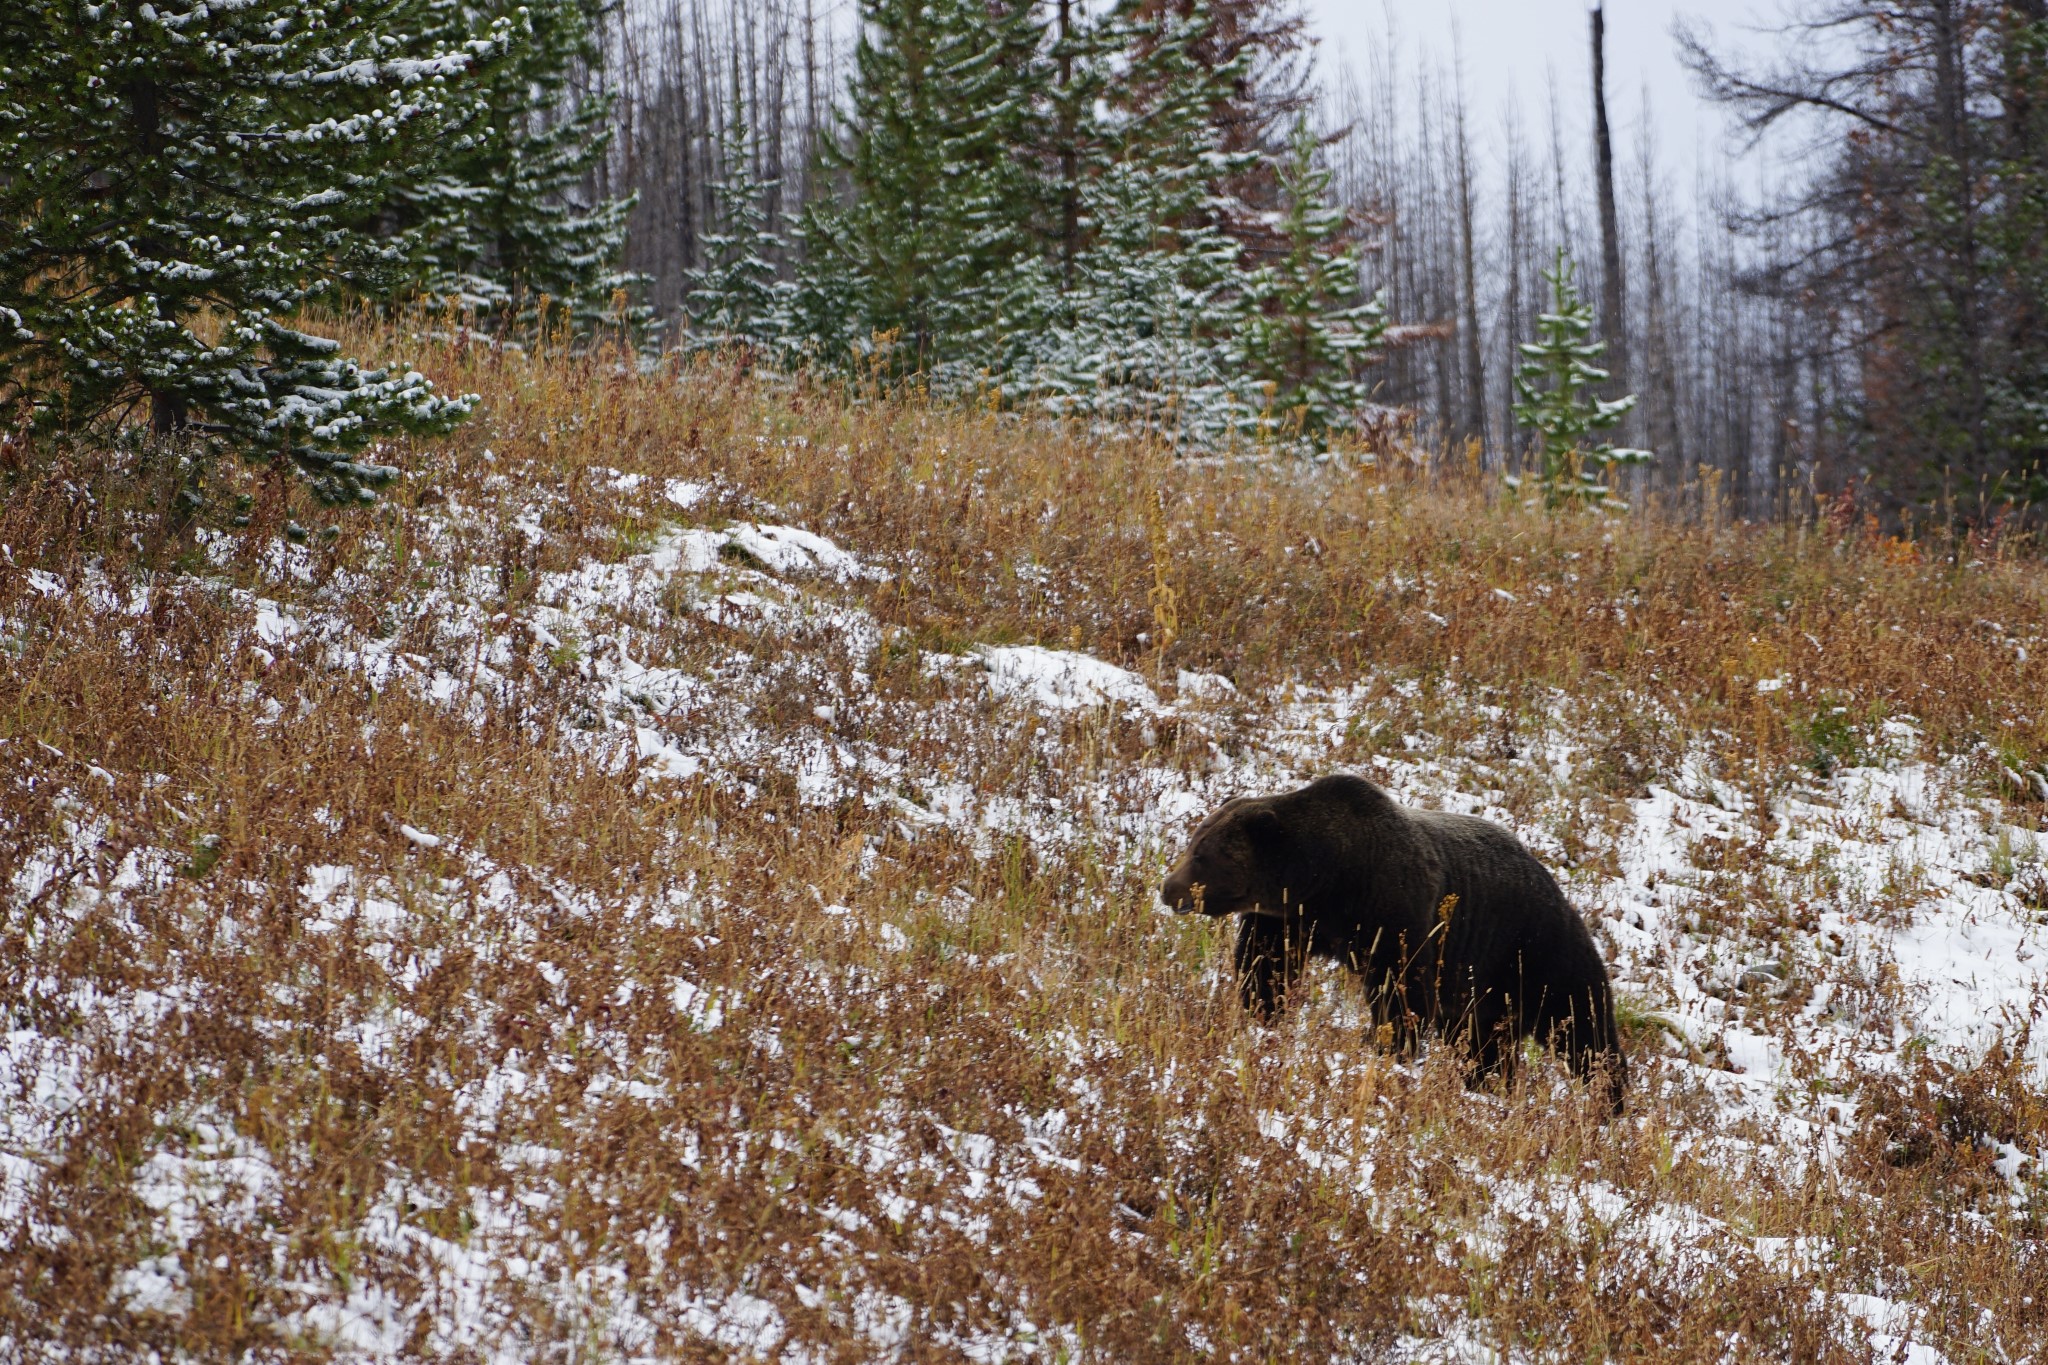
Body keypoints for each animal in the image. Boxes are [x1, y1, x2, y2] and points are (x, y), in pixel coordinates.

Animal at [1163, 777, 1622, 1113]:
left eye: (1203, 855)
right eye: (1194, 842)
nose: (1168, 889)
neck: (1328, 878)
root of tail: (1557, 887)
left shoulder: (1395, 911)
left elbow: (1400, 992)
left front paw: (1388, 1047)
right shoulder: (1287, 921)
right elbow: (1265, 968)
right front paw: (1263, 1014)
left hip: (1534, 952)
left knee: (1584, 1028)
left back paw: (1608, 1103)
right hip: (1483, 994)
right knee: (1485, 1047)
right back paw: (1489, 1088)